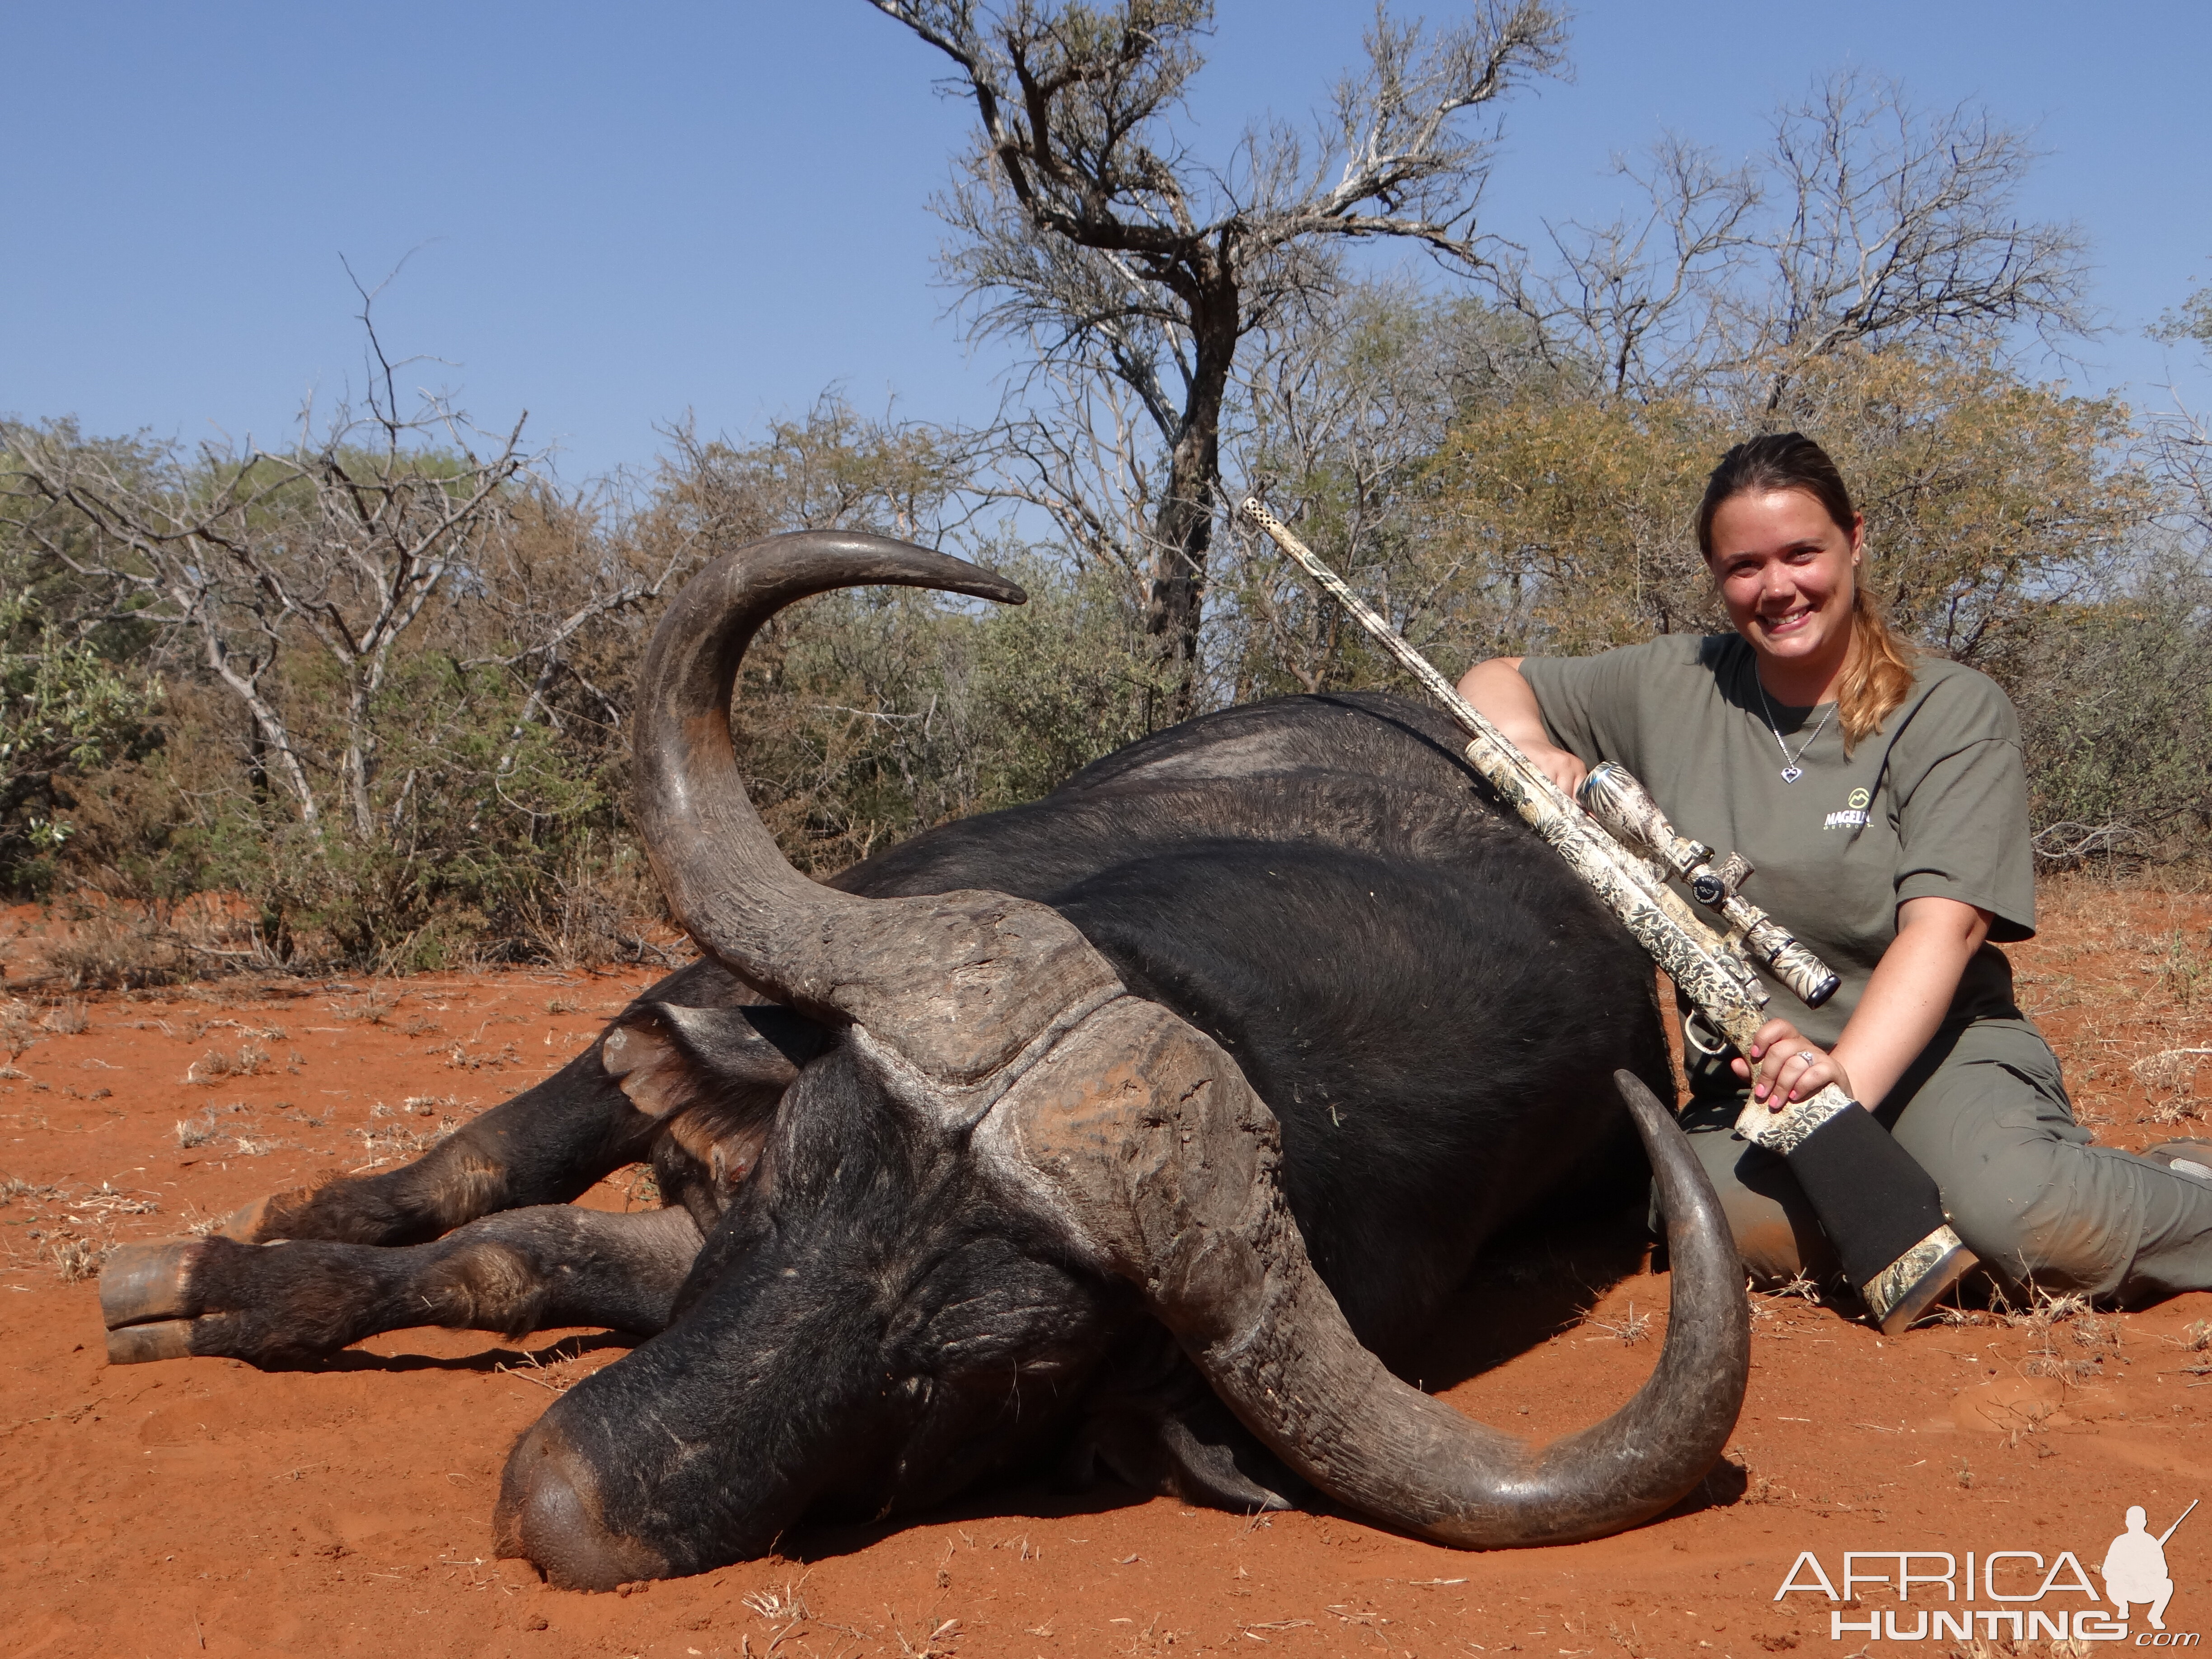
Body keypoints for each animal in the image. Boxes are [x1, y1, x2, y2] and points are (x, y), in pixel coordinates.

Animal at [95, 539, 1743, 1593]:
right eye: (789, 1197)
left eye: (991, 1372)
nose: (565, 1510)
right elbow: (484, 1212)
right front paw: (208, 1282)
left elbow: (518, 1259)